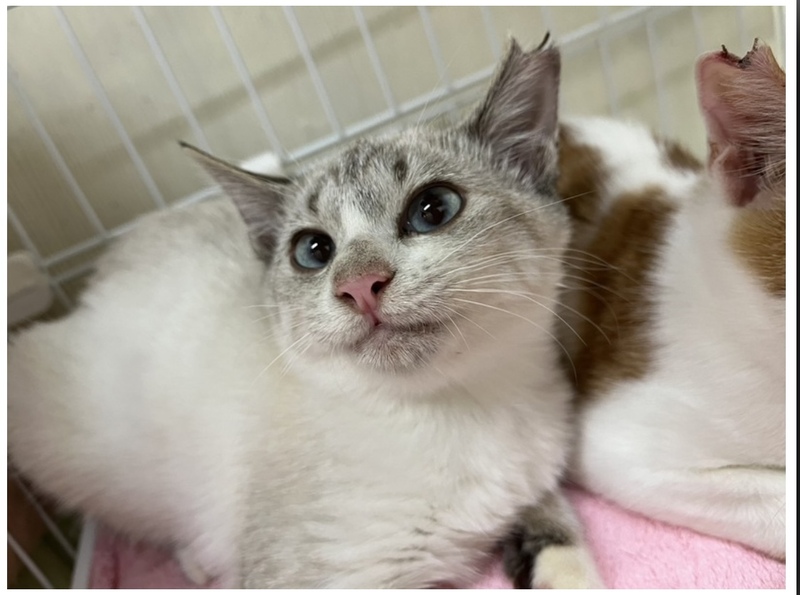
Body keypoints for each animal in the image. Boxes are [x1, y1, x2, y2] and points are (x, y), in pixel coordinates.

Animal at [7, 38, 602, 588]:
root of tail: (110, 258)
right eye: (314, 251)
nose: (360, 285)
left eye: (433, 209)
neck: (463, 407)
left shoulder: (533, 488)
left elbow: (559, 540)